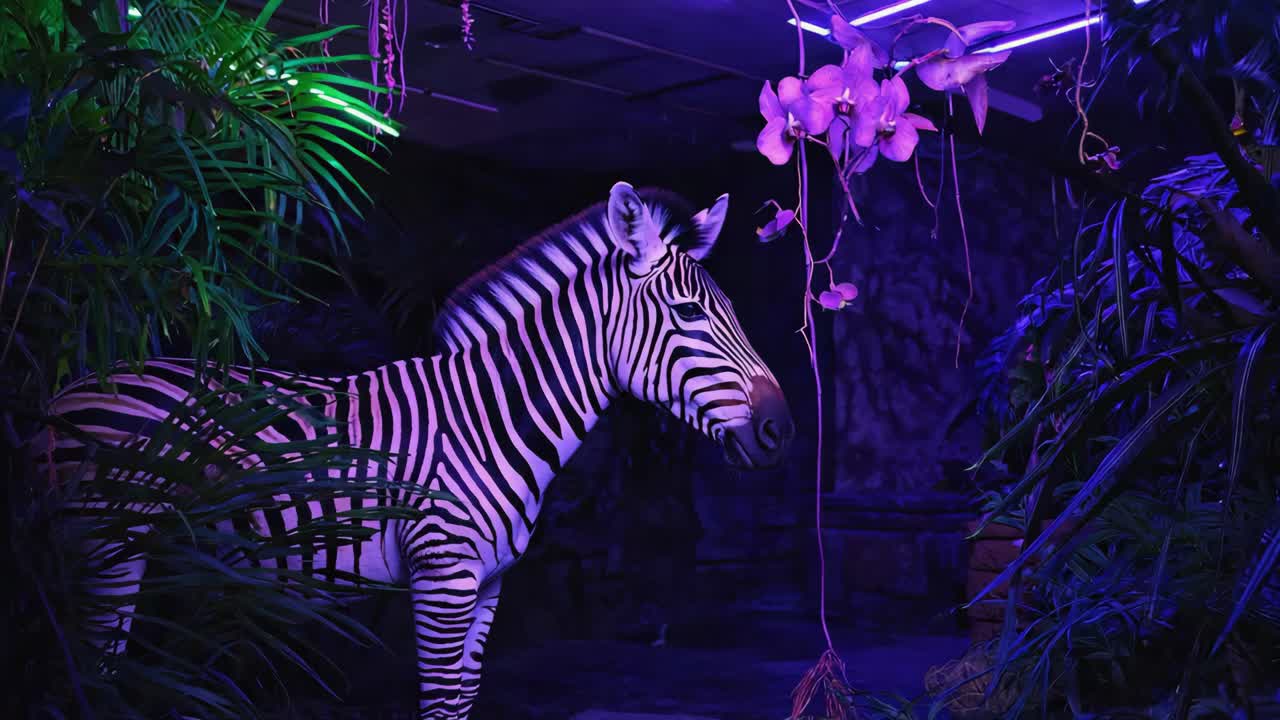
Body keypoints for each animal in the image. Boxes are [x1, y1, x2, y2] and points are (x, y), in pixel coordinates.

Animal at [38, 181, 795, 719]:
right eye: (689, 314)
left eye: (731, 311)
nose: (782, 430)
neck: (489, 419)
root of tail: (71, 386)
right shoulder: (443, 577)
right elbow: (436, 705)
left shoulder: (486, 585)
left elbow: (459, 704)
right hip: (105, 544)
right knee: (94, 675)